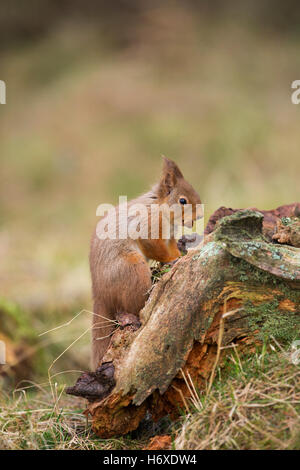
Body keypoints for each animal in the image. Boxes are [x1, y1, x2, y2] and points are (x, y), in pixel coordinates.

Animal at [89, 158, 202, 368]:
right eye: (182, 200)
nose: (199, 217)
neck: (159, 206)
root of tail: (100, 294)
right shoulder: (148, 228)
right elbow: (157, 249)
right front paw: (174, 260)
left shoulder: (169, 237)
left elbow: (171, 247)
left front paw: (181, 251)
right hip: (134, 268)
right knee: (134, 306)